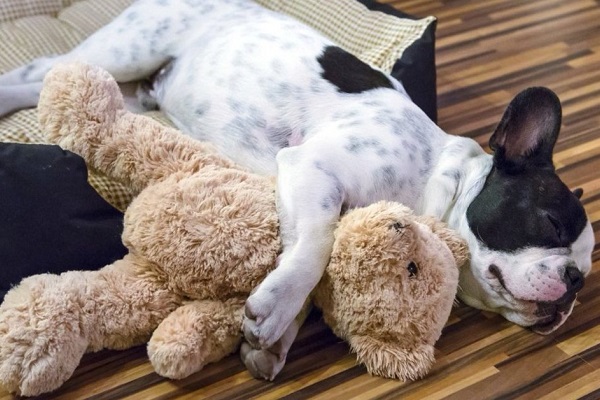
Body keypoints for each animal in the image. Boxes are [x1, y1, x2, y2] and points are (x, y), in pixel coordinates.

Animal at [0, 0, 592, 382]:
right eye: (550, 222)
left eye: (586, 269)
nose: (574, 282)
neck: (435, 176)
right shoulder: (314, 168)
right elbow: (318, 244)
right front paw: (277, 308)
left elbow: (300, 253)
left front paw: (275, 339)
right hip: (131, 47)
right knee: (40, 72)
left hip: (133, 88)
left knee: (51, 79)